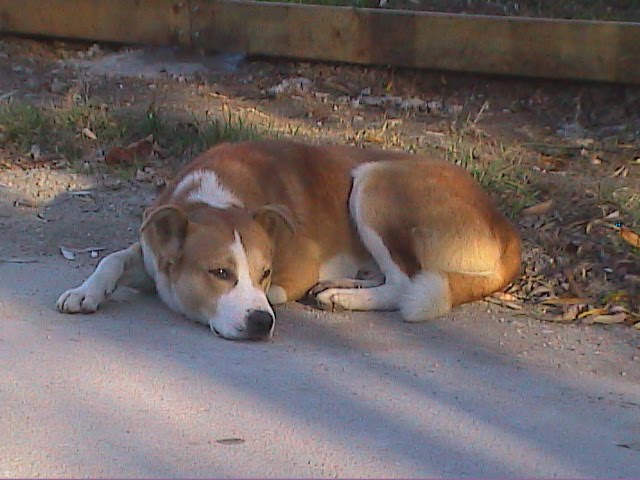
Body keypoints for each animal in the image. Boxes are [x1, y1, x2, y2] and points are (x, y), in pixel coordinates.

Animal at [57, 140, 524, 342]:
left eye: (265, 272)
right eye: (219, 272)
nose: (261, 325)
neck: (215, 194)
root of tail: (506, 225)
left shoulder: (296, 268)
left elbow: (280, 292)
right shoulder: (153, 249)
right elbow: (112, 259)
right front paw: (85, 292)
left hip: (373, 181)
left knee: (407, 285)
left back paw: (340, 295)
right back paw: (345, 284)